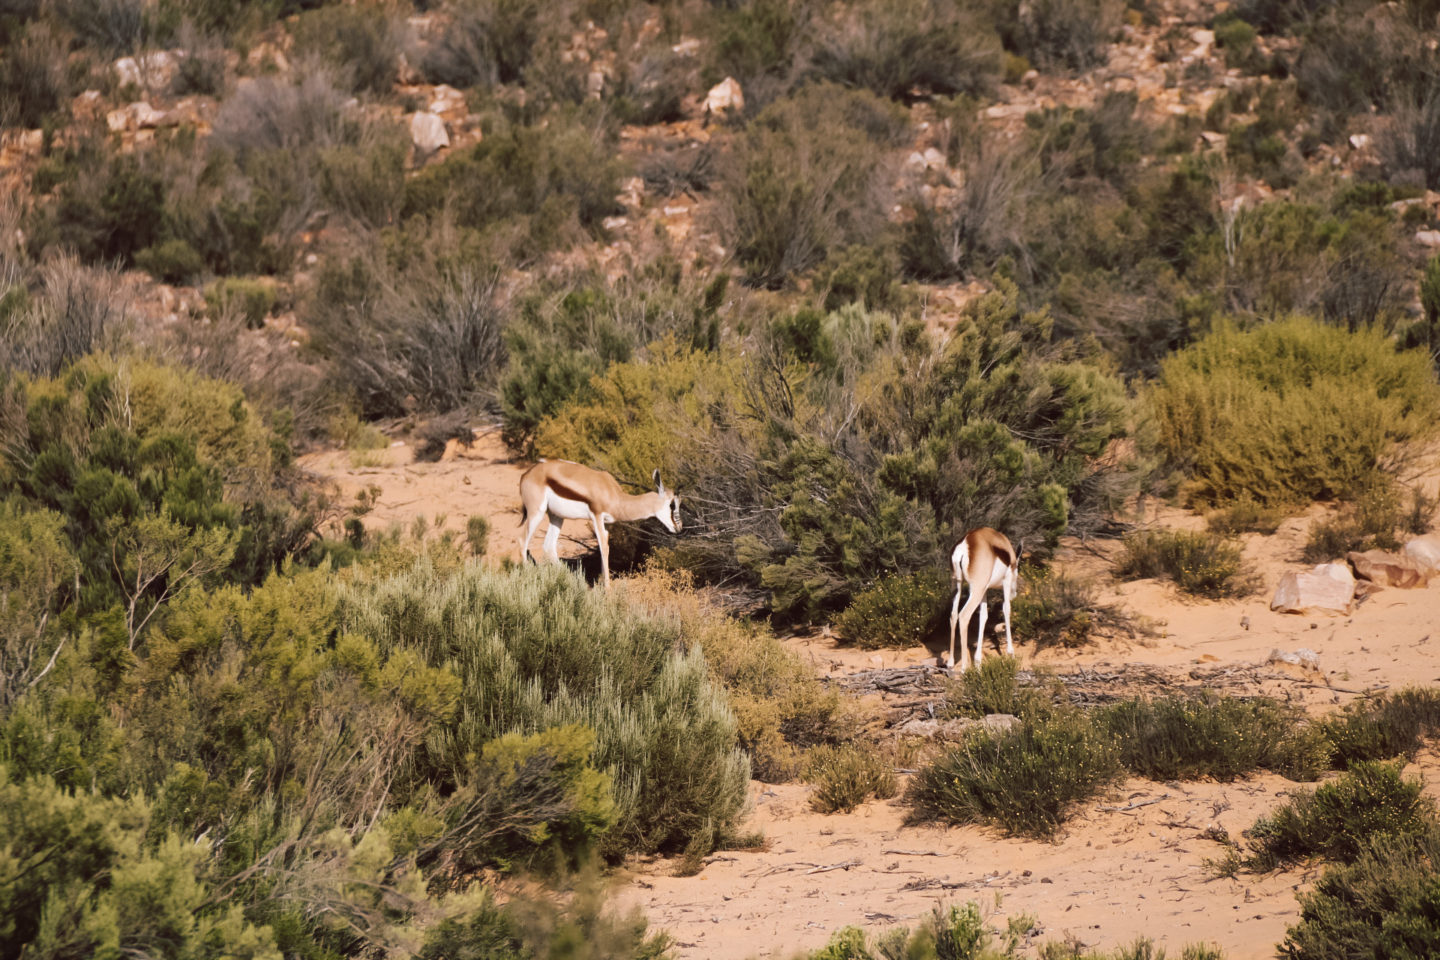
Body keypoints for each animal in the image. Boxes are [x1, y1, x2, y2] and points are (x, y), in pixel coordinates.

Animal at [517, 460, 681, 587]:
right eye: (672, 505)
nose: (679, 527)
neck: (614, 496)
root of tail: (527, 474)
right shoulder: (596, 516)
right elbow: (604, 547)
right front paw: (607, 590)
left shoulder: (605, 523)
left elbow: (606, 545)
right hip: (537, 513)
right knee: (523, 540)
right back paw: (527, 576)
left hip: (557, 516)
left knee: (549, 546)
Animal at [946, 527, 1020, 672]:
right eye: (1018, 571)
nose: (1014, 594)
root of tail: (965, 542)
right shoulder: (1006, 581)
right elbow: (1006, 609)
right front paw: (1011, 654)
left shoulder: (985, 590)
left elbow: (983, 616)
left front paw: (978, 661)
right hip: (976, 590)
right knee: (964, 616)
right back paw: (964, 668)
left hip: (958, 585)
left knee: (953, 615)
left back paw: (951, 663)